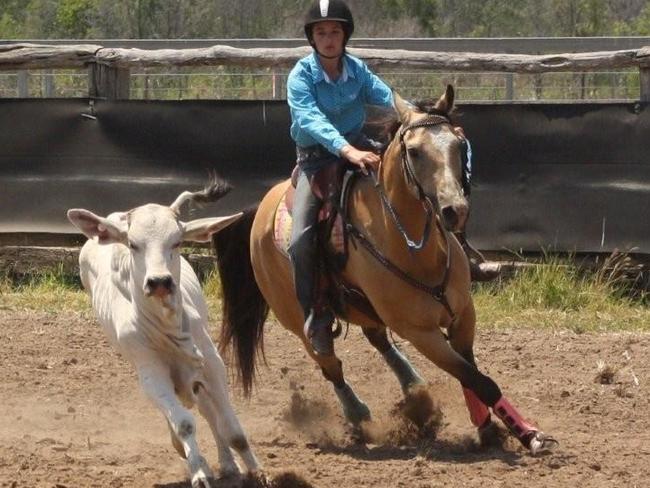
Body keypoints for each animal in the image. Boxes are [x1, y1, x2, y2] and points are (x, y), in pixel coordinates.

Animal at [66, 181, 258, 486]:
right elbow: (184, 424)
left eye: (177, 242)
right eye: (133, 244)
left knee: (210, 412)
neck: (166, 324)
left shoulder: (211, 364)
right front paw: (199, 472)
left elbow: (232, 429)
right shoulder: (152, 373)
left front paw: (256, 472)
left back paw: (229, 464)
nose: (159, 282)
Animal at [214, 86, 556, 456]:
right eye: (415, 151)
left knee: (377, 339)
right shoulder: (419, 332)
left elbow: (471, 372)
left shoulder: (463, 314)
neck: (415, 250)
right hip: (295, 318)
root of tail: (259, 208)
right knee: (330, 365)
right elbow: (477, 379)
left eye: (459, 143)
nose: (455, 210)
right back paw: (359, 416)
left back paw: (415, 389)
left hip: (366, 306)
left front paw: (502, 430)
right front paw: (518, 433)